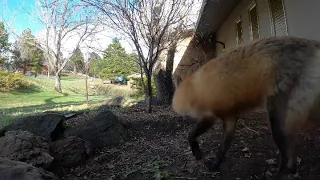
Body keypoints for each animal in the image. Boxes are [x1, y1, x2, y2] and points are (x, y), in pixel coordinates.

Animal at [172, 35, 320, 179]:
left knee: (286, 156)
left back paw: (280, 173)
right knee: (292, 156)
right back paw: (290, 171)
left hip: (277, 120)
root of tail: (312, 44)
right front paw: (215, 165)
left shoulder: (210, 115)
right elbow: (222, 148)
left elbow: (191, 135)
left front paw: (197, 153)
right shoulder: (230, 118)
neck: (193, 89)